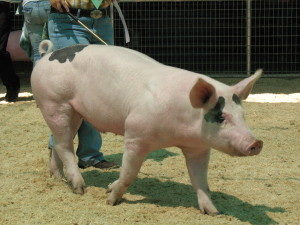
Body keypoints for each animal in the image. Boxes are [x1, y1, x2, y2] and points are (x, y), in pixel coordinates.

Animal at [31, 40, 262, 214]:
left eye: (243, 115)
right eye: (221, 116)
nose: (256, 142)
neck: (178, 131)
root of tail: (47, 54)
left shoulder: (198, 147)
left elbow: (200, 180)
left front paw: (213, 212)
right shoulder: (135, 134)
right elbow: (128, 173)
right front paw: (110, 199)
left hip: (73, 112)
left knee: (57, 142)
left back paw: (58, 178)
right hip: (54, 103)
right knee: (64, 145)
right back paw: (80, 189)